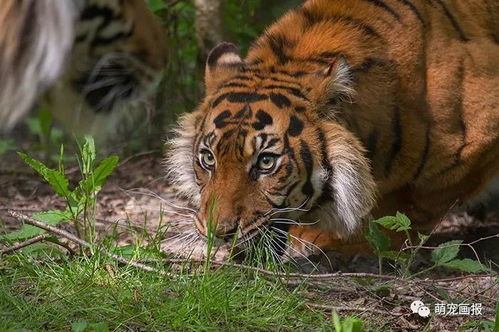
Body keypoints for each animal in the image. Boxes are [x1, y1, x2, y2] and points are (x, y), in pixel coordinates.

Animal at [167, 0, 499, 258]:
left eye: (266, 162)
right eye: (208, 158)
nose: (218, 232)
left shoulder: (479, 137)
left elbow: (407, 205)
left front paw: (330, 239)